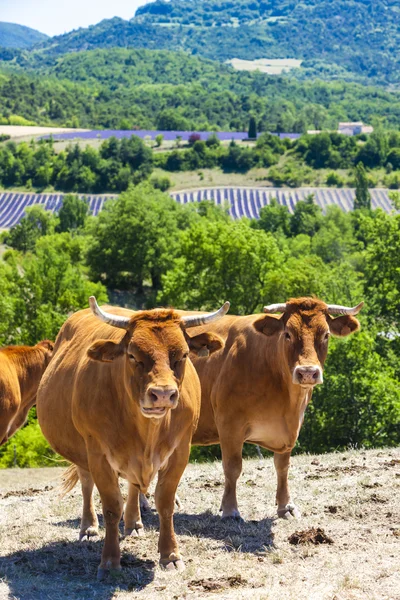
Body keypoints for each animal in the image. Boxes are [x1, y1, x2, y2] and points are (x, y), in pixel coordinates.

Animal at [184, 298, 362, 520]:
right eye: (287, 334)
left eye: (326, 334)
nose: (307, 372)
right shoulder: (229, 424)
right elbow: (232, 467)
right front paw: (230, 509)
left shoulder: (291, 429)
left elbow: (282, 466)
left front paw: (286, 506)